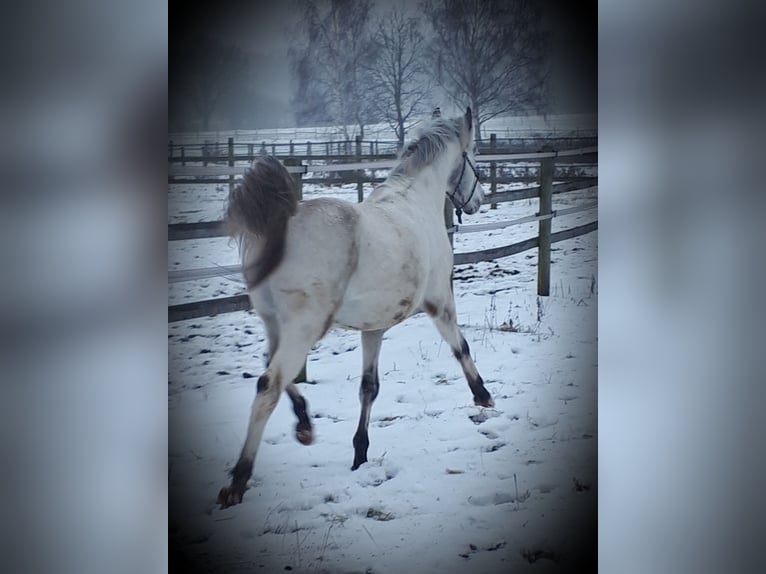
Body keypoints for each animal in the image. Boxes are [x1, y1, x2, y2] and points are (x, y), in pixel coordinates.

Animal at [217, 107, 493, 508]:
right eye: (474, 158)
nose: (478, 201)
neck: (415, 200)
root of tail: (281, 223)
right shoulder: (439, 300)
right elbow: (462, 347)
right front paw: (483, 396)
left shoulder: (373, 327)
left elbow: (368, 388)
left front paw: (360, 454)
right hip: (304, 327)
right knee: (269, 385)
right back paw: (237, 481)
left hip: (273, 321)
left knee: (269, 369)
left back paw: (304, 426)